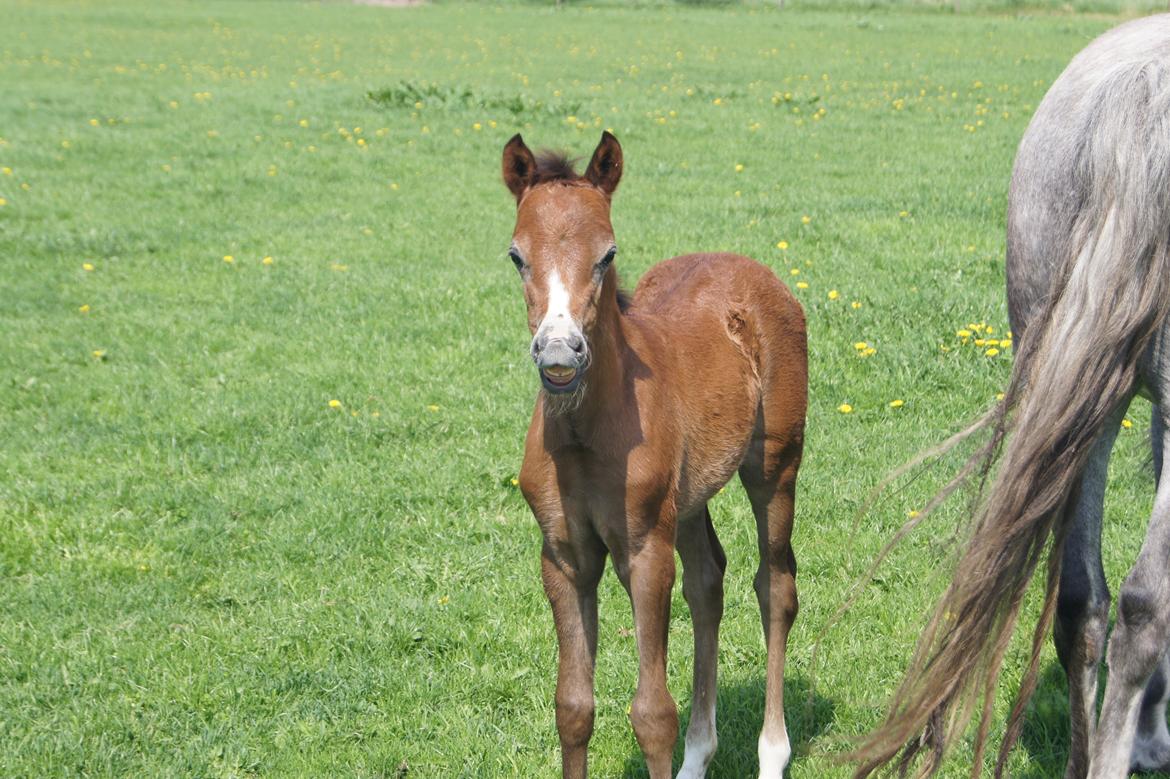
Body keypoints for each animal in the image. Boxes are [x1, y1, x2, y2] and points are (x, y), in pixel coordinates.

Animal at [507, 133, 809, 776]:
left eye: (607, 254)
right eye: (517, 255)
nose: (560, 354)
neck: (585, 438)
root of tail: (748, 264)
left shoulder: (645, 549)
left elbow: (652, 714)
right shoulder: (563, 556)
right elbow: (573, 706)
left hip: (776, 464)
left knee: (775, 585)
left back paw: (772, 754)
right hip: (688, 499)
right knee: (708, 581)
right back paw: (699, 757)